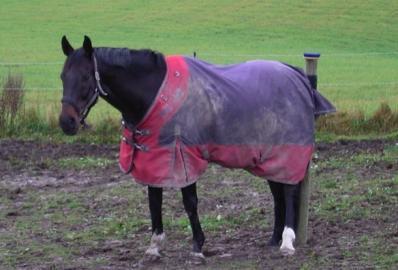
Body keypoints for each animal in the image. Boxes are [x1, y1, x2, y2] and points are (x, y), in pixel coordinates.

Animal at [58, 35, 332, 260]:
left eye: (85, 77)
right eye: (62, 76)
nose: (66, 123)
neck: (154, 93)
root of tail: (298, 76)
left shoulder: (184, 156)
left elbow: (190, 202)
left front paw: (198, 247)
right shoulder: (155, 158)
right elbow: (154, 200)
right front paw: (155, 247)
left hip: (286, 152)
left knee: (289, 192)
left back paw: (287, 242)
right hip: (267, 158)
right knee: (278, 194)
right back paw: (274, 239)